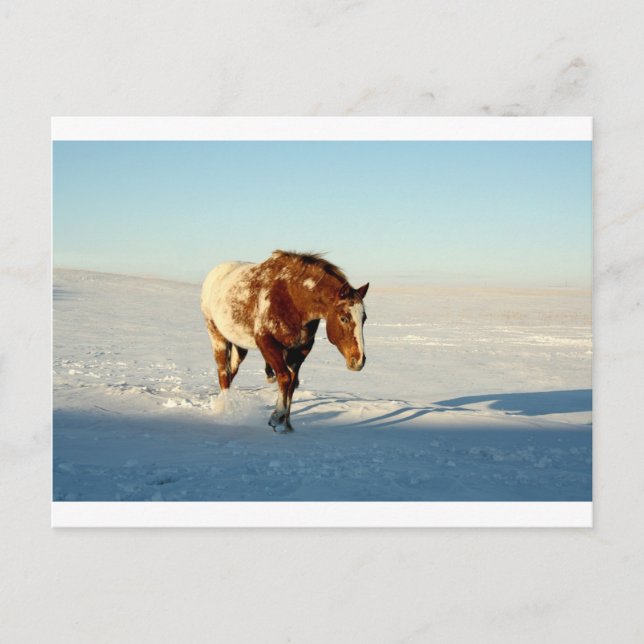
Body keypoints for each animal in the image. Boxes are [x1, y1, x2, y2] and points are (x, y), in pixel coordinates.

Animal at [200, 250, 369, 432]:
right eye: (344, 318)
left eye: (364, 318)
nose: (358, 360)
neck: (292, 299)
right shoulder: (267, 343)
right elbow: (285, 377)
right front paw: (276, 417)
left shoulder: (300, 350)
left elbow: (292, 383)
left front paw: (287, 424)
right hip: (217, 336)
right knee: (223, 373)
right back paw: (227, 409)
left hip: (239, 346)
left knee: (231, 372)